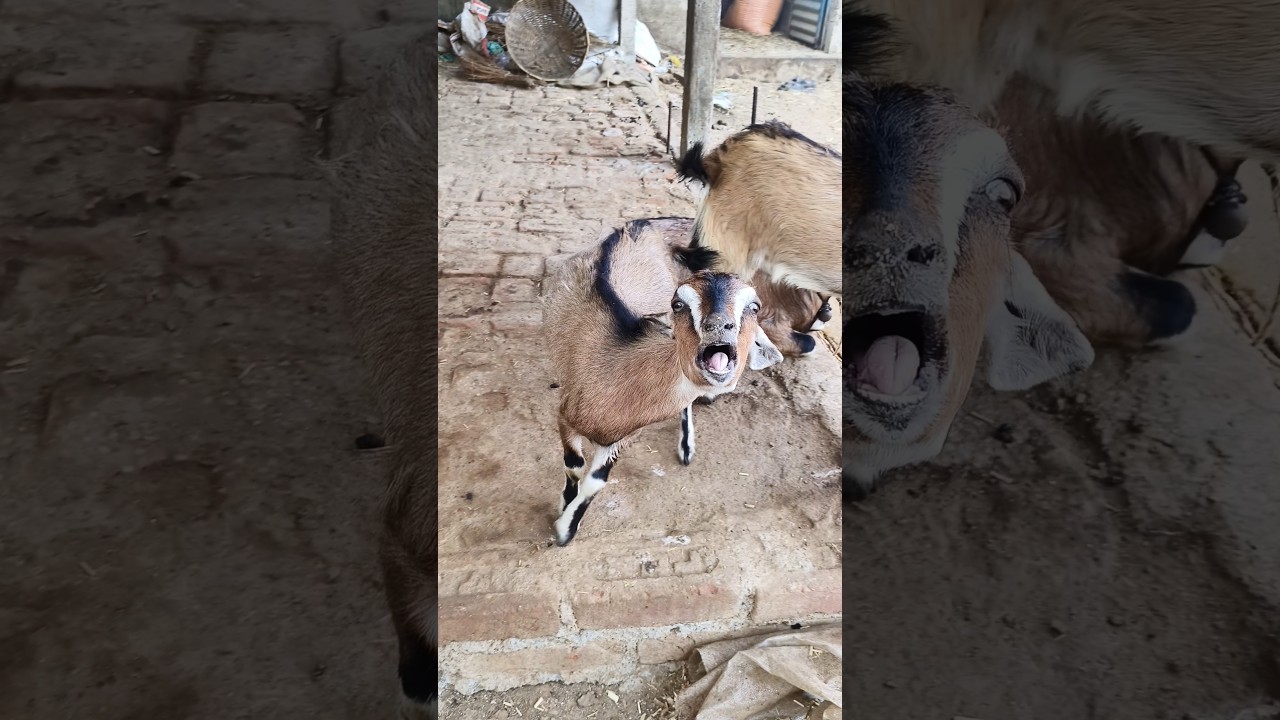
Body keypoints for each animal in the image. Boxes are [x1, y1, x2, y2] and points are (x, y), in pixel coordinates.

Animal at [545, 218, 784, 546]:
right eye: (678, 304)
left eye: (755, 306)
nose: (718, 326)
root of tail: (643, 224)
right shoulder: (565, 416)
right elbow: (575, 467)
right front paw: (563, 520)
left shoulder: (626, 436)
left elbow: (596, 481)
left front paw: (567, 527)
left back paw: (686, 446)